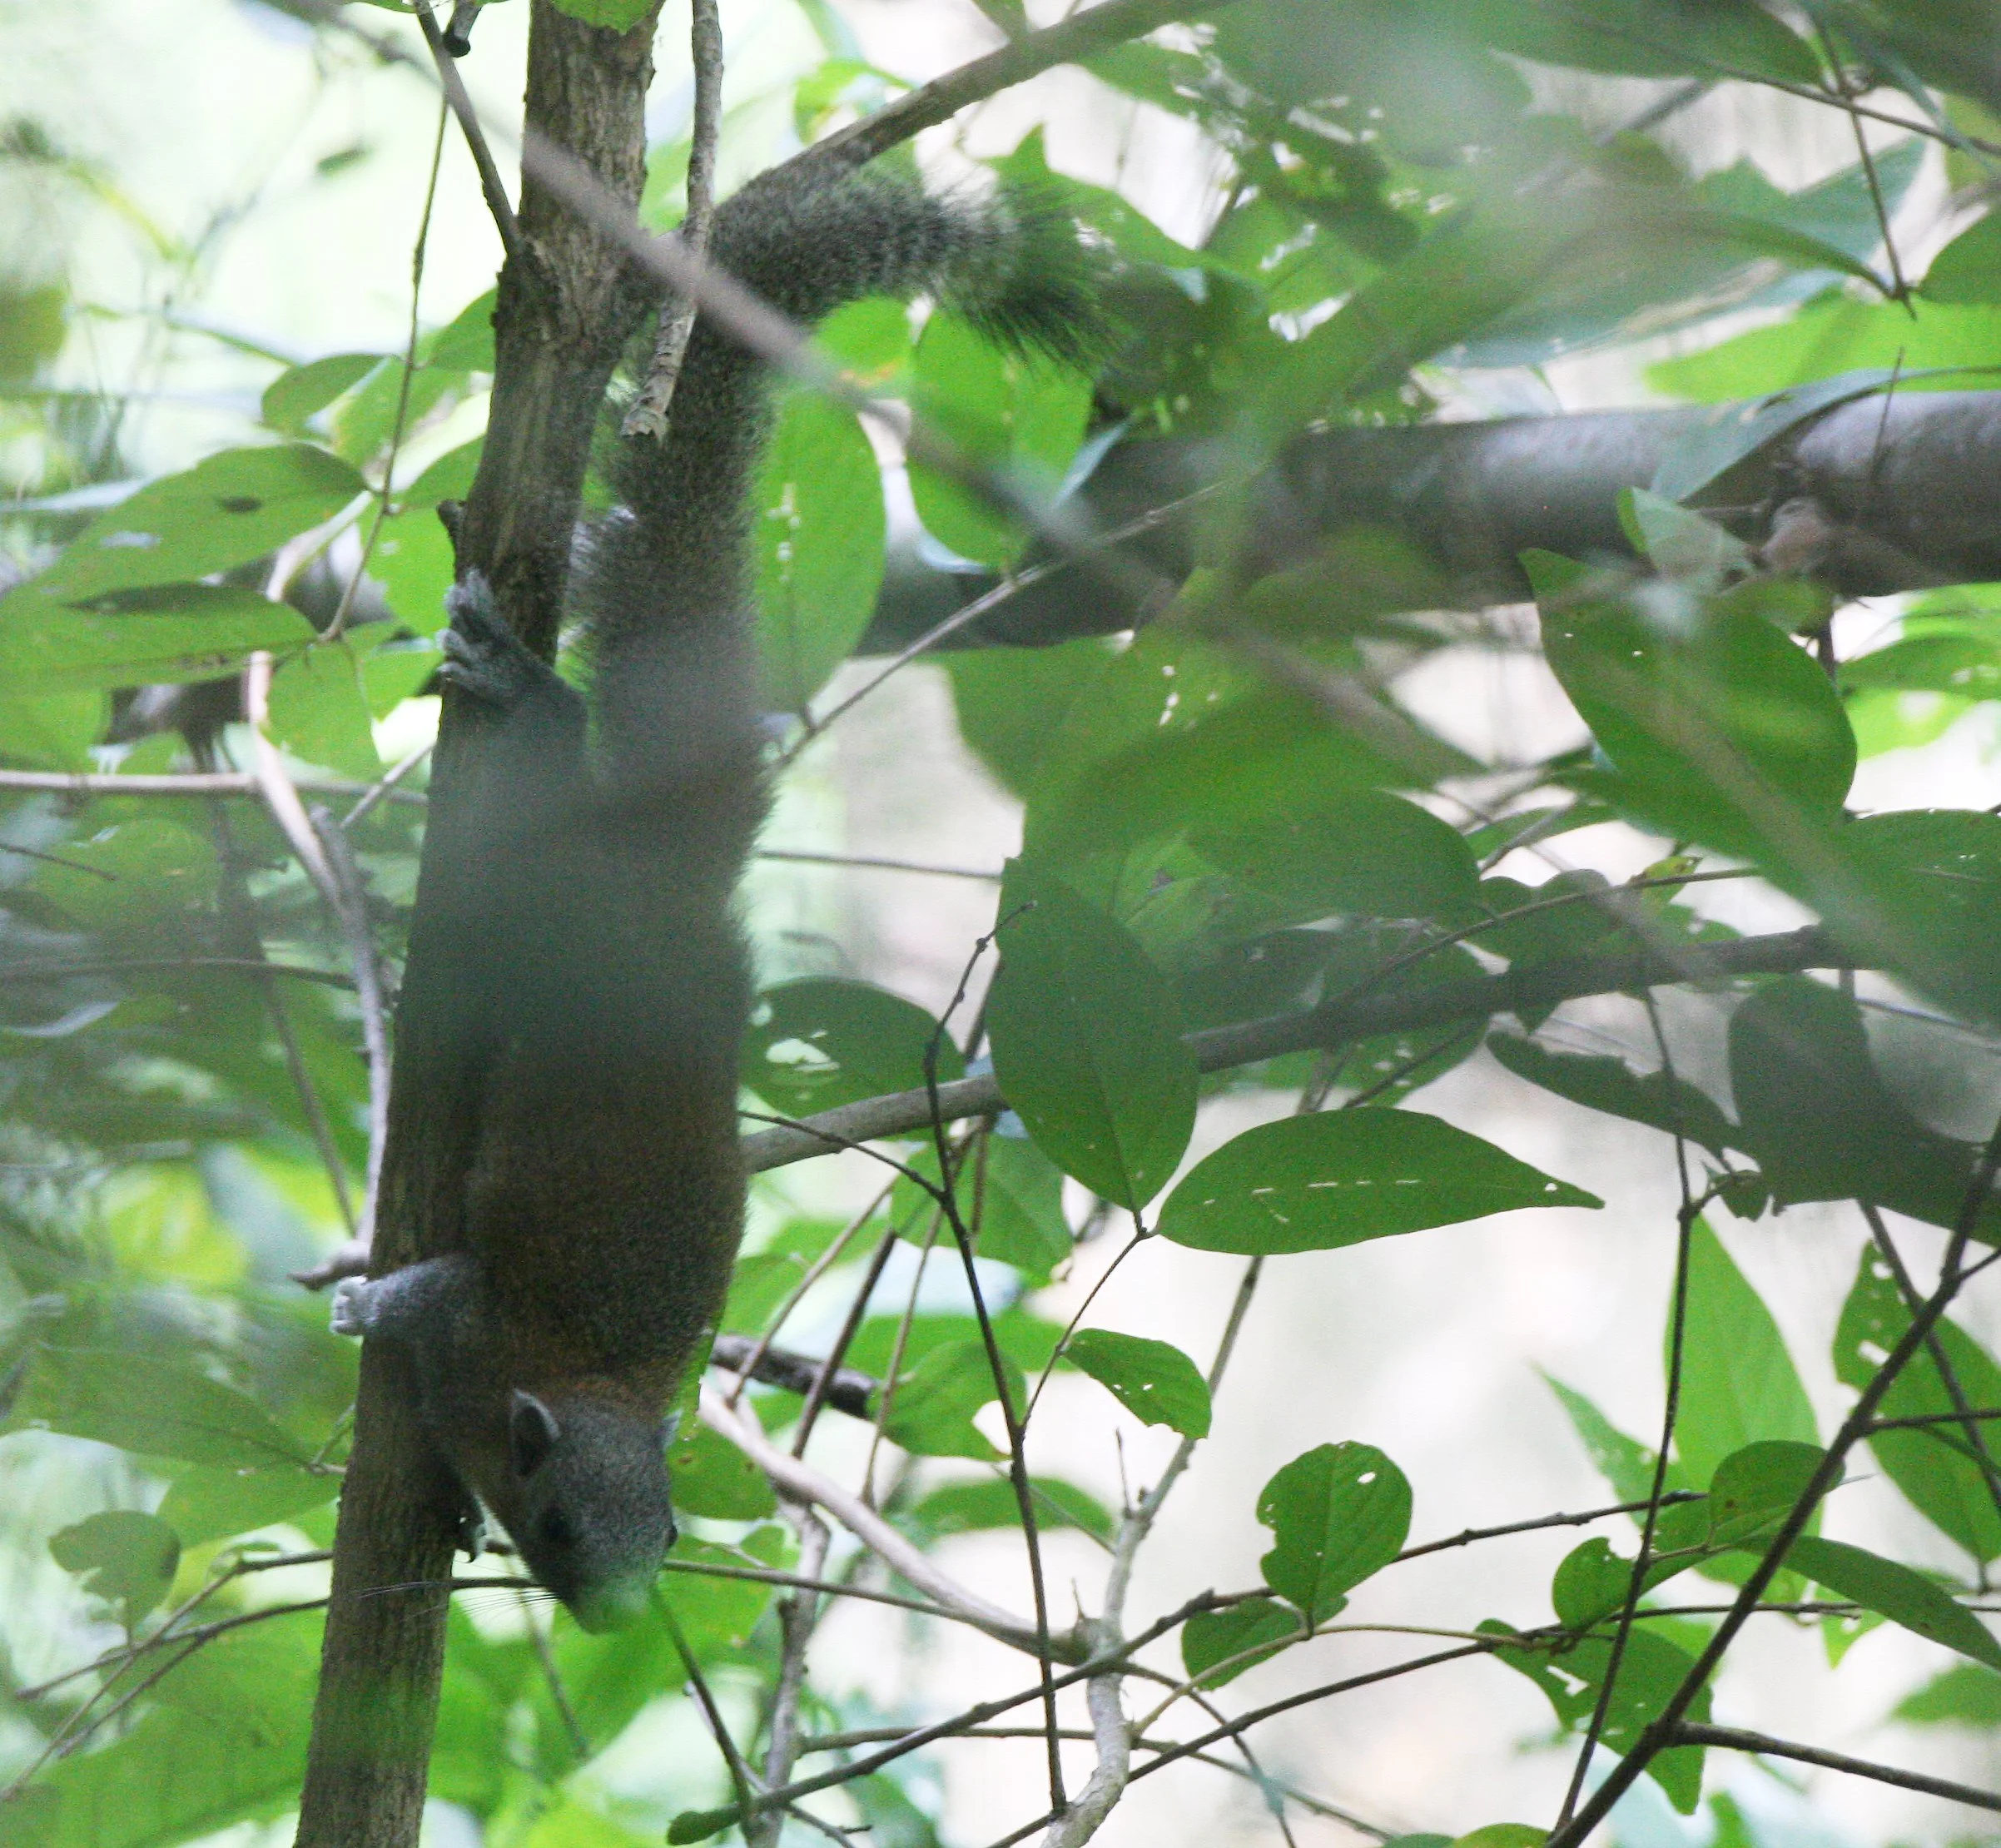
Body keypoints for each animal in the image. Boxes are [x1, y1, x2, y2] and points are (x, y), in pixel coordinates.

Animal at [330, 159, 1101, 1630]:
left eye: (671, 1532)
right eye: (561, 1527)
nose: (619, 1613)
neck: (578, 1385)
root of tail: (672, 889)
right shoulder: (475, 1321)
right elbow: (427, 1306)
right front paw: (372, 1316)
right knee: (554, 751)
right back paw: (521, 697)